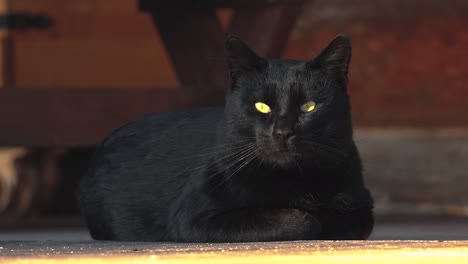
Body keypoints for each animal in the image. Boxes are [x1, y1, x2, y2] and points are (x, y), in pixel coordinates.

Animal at [78, 34, 374, 242]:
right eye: (261, 106)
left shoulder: (361, 206)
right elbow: (302, 221)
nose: (282, 132)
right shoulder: (195, 218)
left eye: (308, 107)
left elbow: (346, 220)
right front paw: (309, 217)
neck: (291, 180)